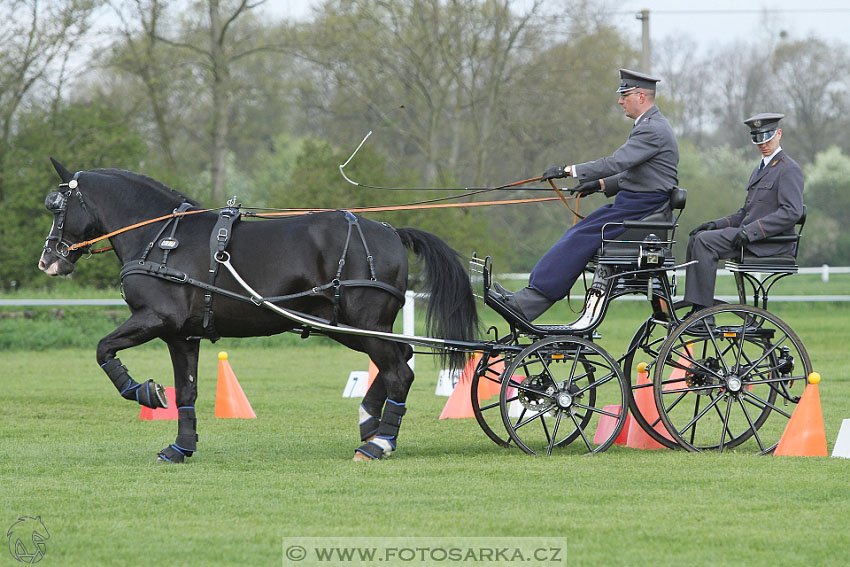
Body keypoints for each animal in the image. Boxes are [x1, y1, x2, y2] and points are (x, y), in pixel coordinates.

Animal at [38, 159, 476, 462]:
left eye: (56, 207)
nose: (48, 261)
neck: (161, 239)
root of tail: (389, 232)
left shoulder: (156, 319)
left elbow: (103, 349)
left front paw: (144, 391)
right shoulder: (182, 335)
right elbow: (187, 391)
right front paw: (181, 446)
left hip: (362, 322)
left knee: (399, 370)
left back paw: (379, 442)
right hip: (350, 326)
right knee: (400, 359)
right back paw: (370, 422)